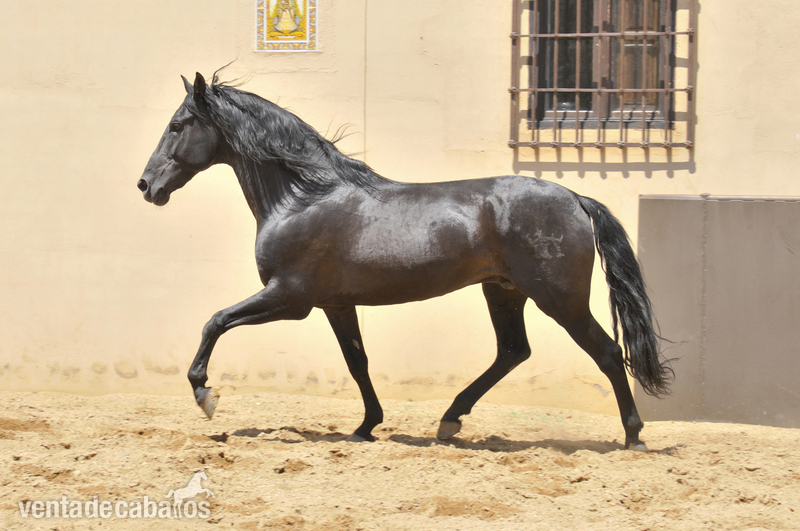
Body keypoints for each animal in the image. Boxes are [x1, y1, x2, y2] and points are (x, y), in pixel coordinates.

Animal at [137, 72, 671, 451]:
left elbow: (215, 321)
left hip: (559, 299)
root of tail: (575, 198)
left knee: (607, 353)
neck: (303, 196)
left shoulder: (290, 298)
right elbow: (357, 362)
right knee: (513, 351)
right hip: (503, 290)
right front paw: (365, 426)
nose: (146, 185)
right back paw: (450, 420)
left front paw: (205, 395)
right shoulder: (335, 304)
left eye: (177, 126)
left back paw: (634, 436)